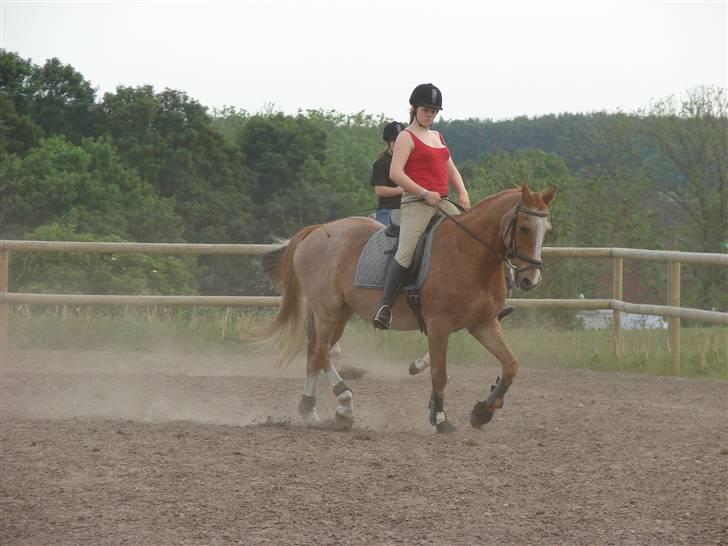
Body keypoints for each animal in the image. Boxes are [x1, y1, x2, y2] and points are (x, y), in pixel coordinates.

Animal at [256, 181, 556, 432]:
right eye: (524, 227)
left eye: (547, 230)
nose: (530, 279)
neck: (469, 254)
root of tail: (315, 230)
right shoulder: (438, 325)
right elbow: (439, 374)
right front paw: (441, 420)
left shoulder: (483, 324)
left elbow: (511, 364)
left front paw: (483, 412)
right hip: (327, 310)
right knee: (320, 352)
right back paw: (345, 406)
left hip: (340, 313)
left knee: (316, 353)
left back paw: (310, 409)